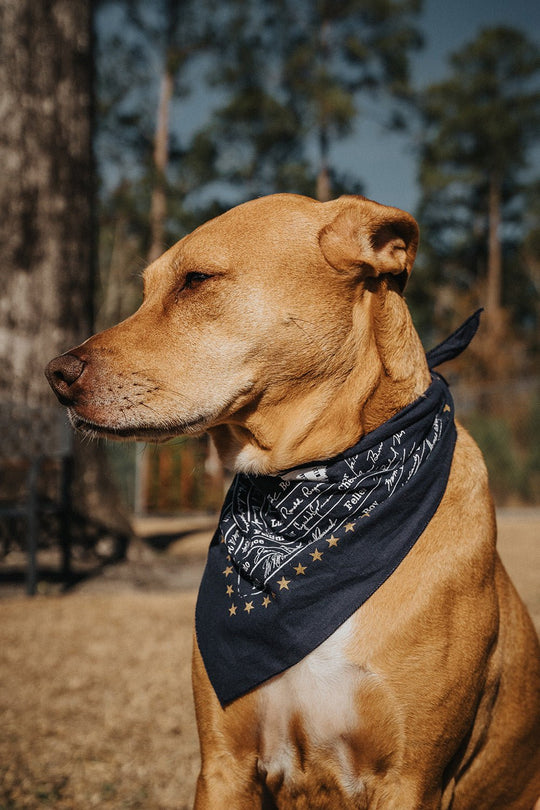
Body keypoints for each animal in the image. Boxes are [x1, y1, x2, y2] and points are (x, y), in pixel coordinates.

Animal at [46, 196, 540, 808]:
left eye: (196, 280)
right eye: (146, 291)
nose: (56, 375)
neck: (306, 497)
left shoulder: (414, 780)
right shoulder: (224, 764)